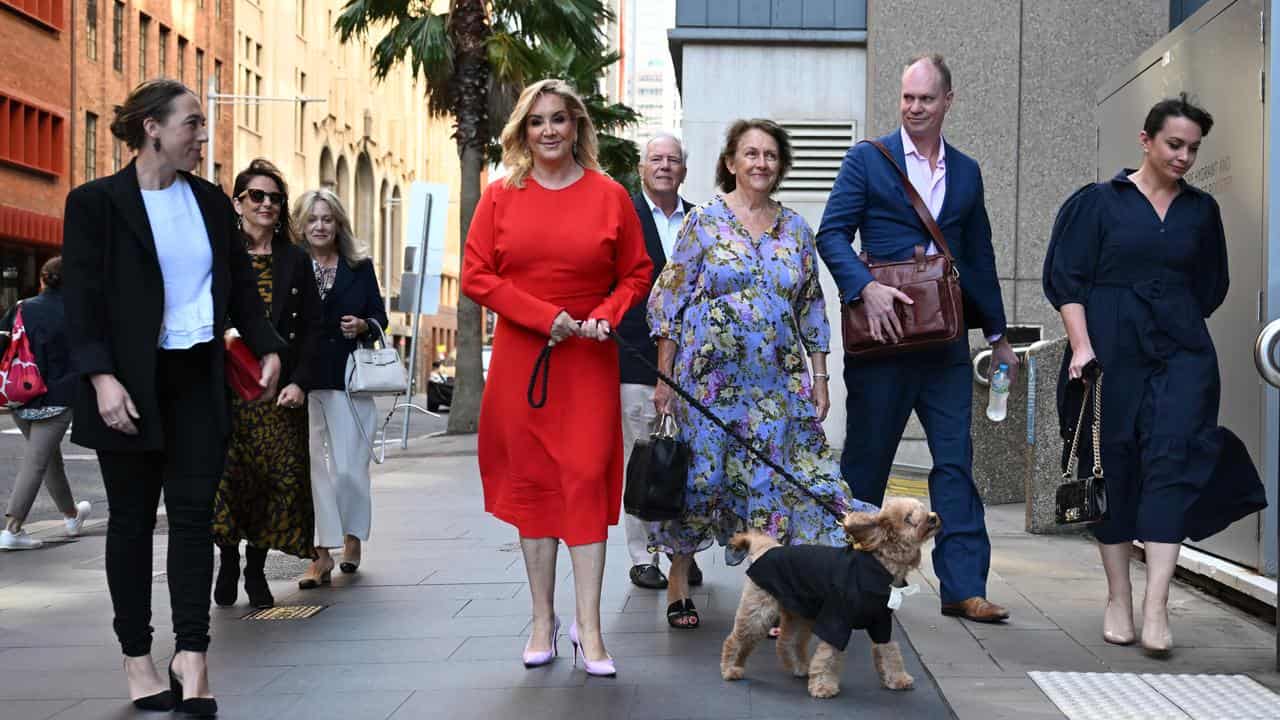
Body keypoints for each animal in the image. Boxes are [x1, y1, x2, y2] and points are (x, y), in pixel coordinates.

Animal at [721, 497, 942, 696]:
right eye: (908, 518)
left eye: (923, 508)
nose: (933, 518)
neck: (880, 566)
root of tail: (766, 549)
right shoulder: (837, 619)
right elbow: (828, 654)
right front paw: (823, 686)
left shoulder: (881, 622)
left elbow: (890, 651)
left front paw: (897, 679)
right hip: (759, 610)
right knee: (736, 639)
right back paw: (731, 668)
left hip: (800, 614)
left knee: (787, 641)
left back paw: (799, 668)